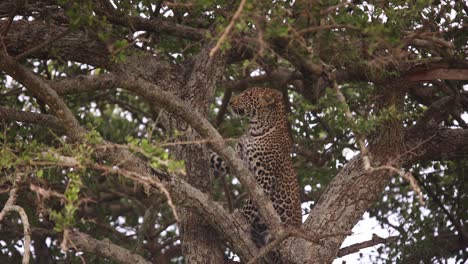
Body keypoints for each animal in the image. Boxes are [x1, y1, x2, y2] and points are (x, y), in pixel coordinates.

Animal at [211, 88, 302, 256]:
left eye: (246, 96)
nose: (230, 102)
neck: (255, 127)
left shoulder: (265, 174)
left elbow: (253, 200)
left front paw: (241, 218)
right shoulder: (236, 158)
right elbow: (215, 157)